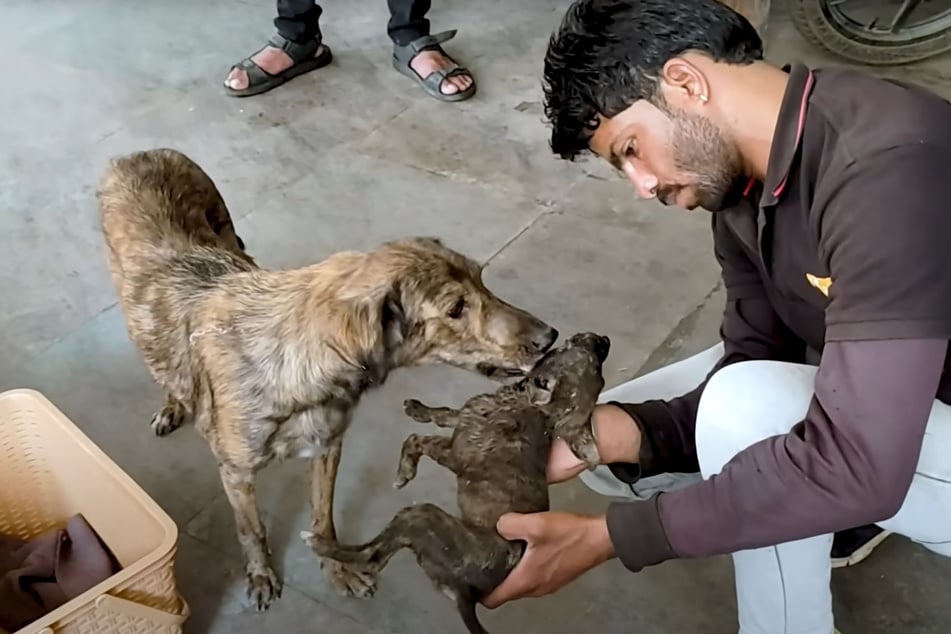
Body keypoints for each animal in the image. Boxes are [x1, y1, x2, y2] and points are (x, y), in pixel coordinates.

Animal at [96, 147, 556, 608]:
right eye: (456, 309)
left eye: (481, 277)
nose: (549, 337)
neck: (294, 361)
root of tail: (139, 154)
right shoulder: (236, 474)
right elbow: (252, 529)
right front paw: (261, 574)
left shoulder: (327, 447)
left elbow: (323, 520)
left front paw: (337, 570)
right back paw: (173, 405)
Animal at [308, 330, 612, 632]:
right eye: (597, 361)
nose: (604, 339)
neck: (537, 408)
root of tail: (468, 594)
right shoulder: (464, 414)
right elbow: (442, 413)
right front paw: (417, 409)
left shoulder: (452, 454)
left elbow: (416, 440)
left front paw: (404, 473)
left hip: (422, 517)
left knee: (373, 556)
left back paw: (322, 546)